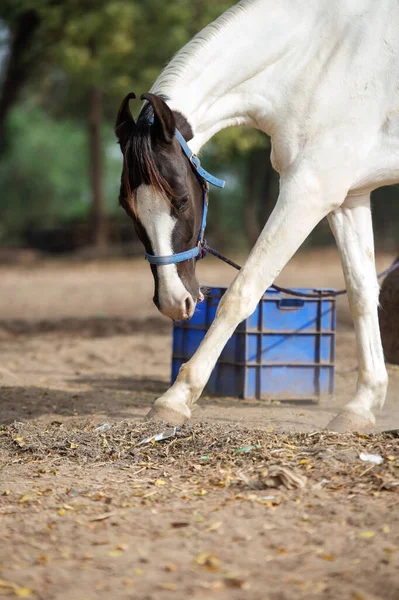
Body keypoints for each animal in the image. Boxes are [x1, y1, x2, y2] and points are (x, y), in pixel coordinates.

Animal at [115, 0, 399, 432]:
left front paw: (175, 398)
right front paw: (361, 406)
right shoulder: (348, 196)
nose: (174, 301)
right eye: (126, 207)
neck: (321, 57)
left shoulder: (308, 192)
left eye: (181, 200)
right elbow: (362, 293)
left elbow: (242, 292)